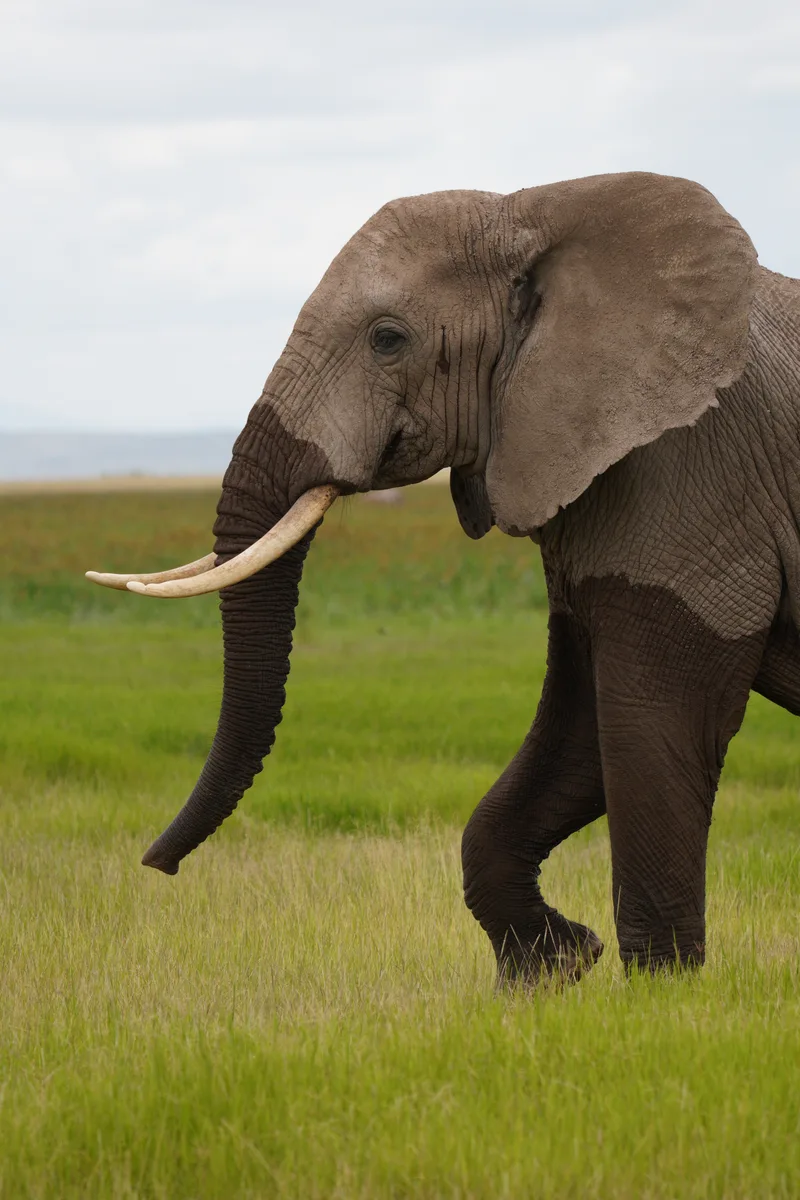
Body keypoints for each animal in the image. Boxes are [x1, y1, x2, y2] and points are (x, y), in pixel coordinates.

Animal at [87, 171, 800, 982]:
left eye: (388, 339)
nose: (156, 865)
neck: (539, 210)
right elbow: (582, 725)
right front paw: (556, 967)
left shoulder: (691, 467)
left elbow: (656, 718)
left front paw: (662, 989)